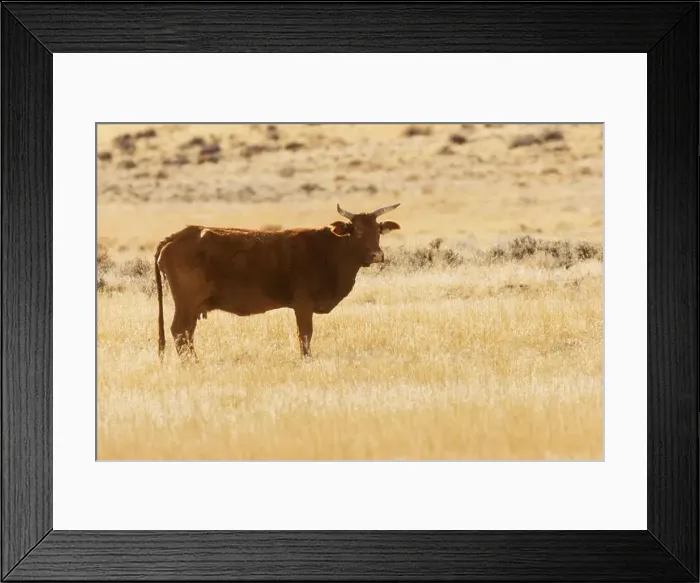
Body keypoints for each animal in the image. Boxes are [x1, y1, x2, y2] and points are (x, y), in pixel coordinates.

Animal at [154, 202, 401, 361]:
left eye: (378, 231)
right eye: (357, 231)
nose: (377, 255)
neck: (330, 250)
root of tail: (177, 236)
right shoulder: (303, 306)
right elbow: (305, 336)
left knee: (186, 334)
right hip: (186, 303)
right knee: (180, 332)